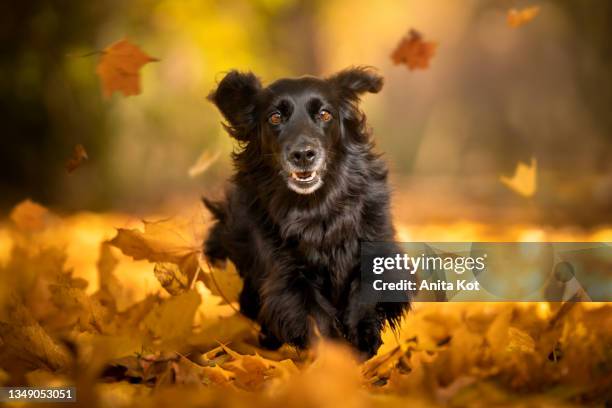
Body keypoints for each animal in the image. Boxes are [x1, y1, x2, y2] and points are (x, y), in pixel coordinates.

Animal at [203, 67, 408, 356]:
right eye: (275, 117)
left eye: (324, 114)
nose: (303, 154)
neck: (316, 208)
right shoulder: (288, 276)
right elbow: (315, 316)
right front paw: (335, 356)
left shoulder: (377, 245)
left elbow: (366, 291)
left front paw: (363, 339)